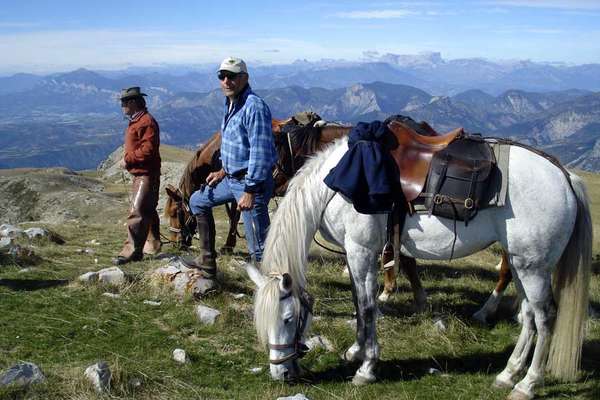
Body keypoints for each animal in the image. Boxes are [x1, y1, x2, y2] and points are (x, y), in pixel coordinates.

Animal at [246, 137, 592, 400]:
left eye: (287, 318)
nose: (280, 373)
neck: (337, 182)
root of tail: (564, 176)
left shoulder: (360, 250)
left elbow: (368, 307)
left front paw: (367, 368)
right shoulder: (358, 252)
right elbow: (359, 303)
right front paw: (356, 351)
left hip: (533, 267)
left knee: (545, 318)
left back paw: (527, 384)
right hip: (522, 264)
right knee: (529, 315)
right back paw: (508, 374)